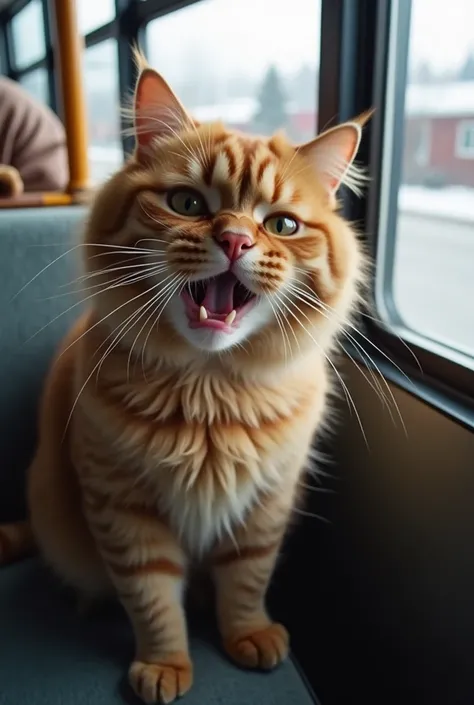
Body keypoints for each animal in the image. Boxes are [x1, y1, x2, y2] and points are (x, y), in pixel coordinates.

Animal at [0, 55, 368, 704]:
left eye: (282, 224)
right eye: (188, 204)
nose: (236, 240)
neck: (209, 391)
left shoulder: (266, 505)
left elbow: (246, 581)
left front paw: (246, 634)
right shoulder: (123, 507)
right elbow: (151, 599)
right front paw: (165, 664)